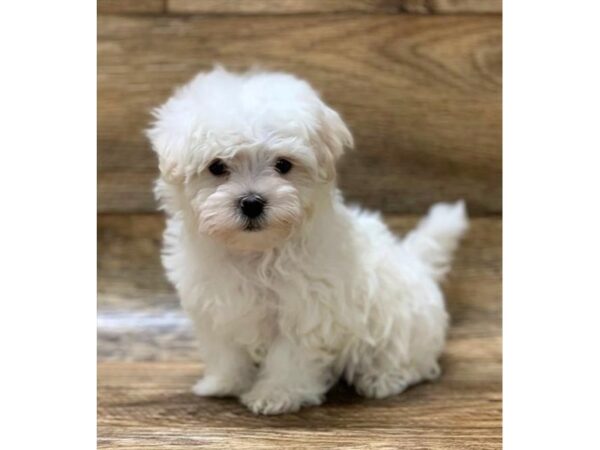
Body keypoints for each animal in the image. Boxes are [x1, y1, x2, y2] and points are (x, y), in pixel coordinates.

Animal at [146, 67, 468, 414]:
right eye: (217, 167)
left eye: (283, 165)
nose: (252, 202)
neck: (255, 252)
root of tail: (416, 263)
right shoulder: (217, 308)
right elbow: (226, 352)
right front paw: (225, 382)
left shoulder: (306, 310)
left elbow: (289, 358)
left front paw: (276, 394)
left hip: (405, 325)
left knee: (410, 359)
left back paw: (382, 379)